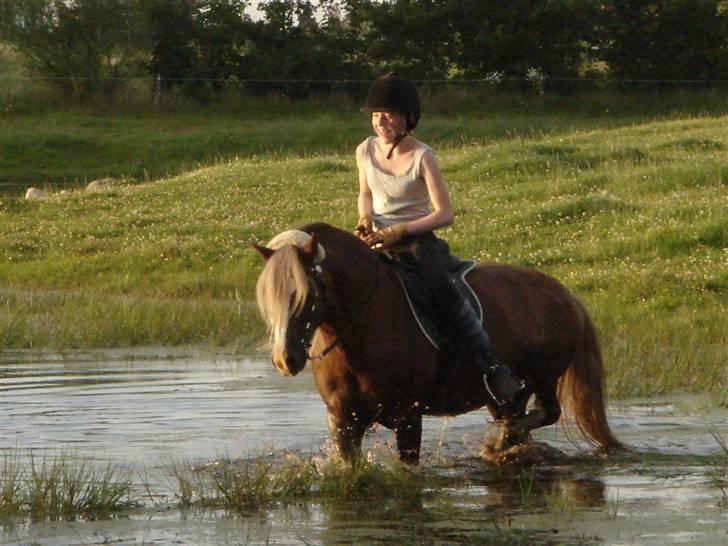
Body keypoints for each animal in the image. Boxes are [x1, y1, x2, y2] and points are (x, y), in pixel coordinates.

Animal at [255, 223, 620, 462]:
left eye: (305, 294)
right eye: (270, 296)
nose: (285, 359)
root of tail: (565, 295)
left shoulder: (408, 416)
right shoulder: (343, 420)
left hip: (543, 376)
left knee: (547, 412)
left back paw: (499, 443)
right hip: (504, 396)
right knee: (519, 418)